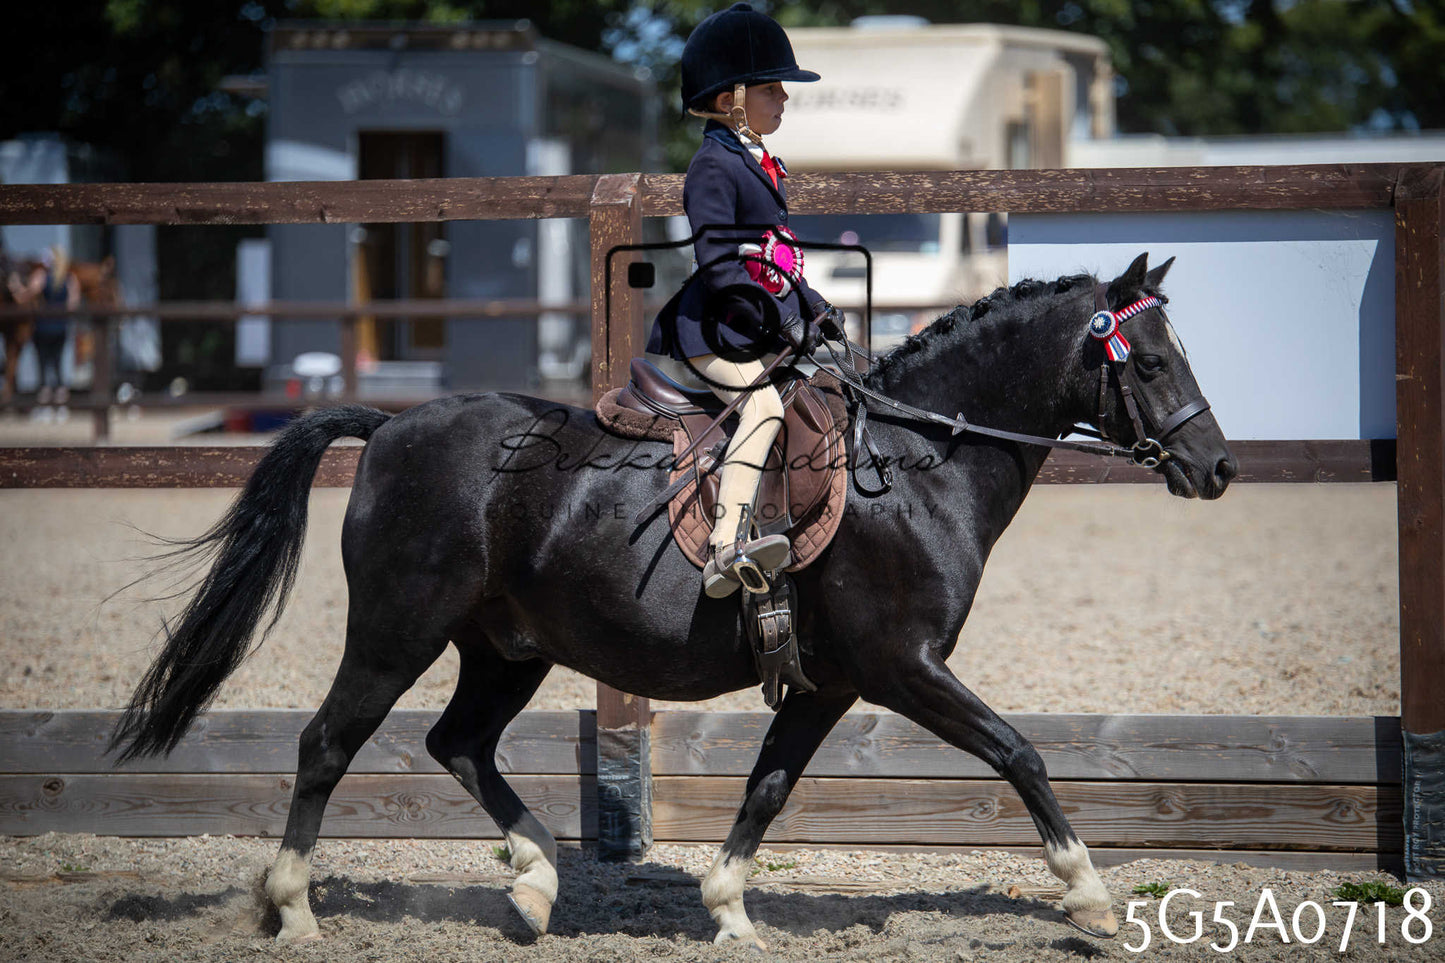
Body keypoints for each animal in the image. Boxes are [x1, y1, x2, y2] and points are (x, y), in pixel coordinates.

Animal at [109, 253, 1236, 947]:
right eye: (1152, 358)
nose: (1216, 468)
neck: (916, 464)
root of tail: (389, 427)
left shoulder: (829, 684)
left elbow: (768, 787)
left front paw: (728, 908)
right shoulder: (903, 667)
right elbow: (1017, 751)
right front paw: (1088, 896)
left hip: (506, 648)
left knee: (457, 743)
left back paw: (536, 883)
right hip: (396, 632)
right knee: (327, 744)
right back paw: (296, 910)